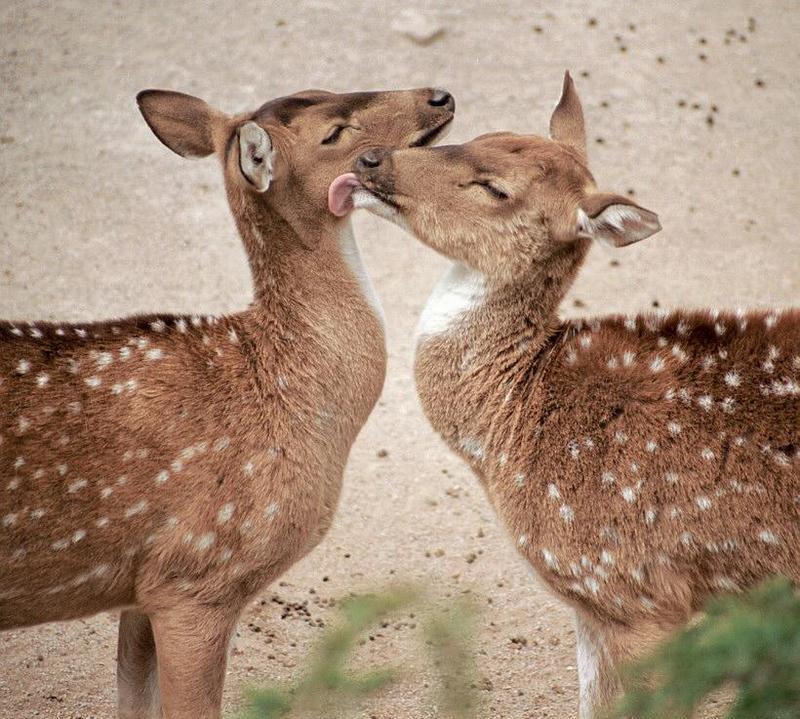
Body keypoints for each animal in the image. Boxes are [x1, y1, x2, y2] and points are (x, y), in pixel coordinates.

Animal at [338, 73, 800, 719]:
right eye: (481, 135)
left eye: (495, 188)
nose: (371, 159)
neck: (515, 421)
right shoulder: (594, 602)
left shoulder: (632, 587)